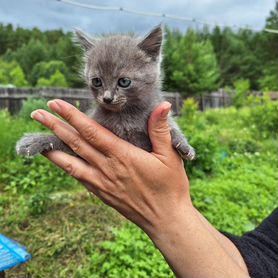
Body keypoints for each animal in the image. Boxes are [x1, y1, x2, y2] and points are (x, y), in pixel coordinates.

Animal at [15, 26, 195, 161]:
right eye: (97, 81)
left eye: (124, 81)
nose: (107, 98)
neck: (125, 117)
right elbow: (66, 140)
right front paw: (36, 141)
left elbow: (172, 125)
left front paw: (184, 145)